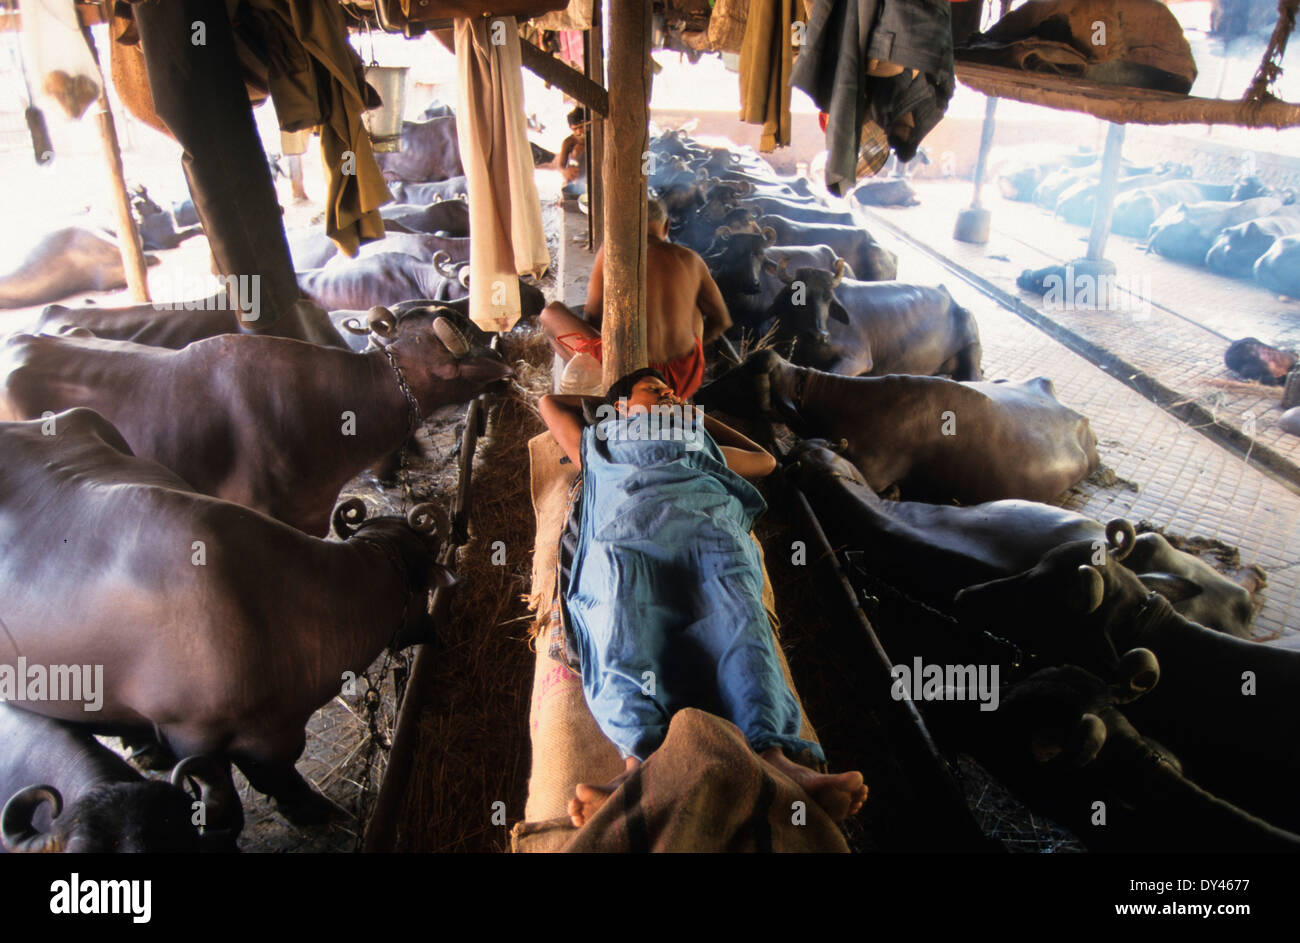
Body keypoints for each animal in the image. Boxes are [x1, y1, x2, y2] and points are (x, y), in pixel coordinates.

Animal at [0, 405, 457, 822]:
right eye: (423, 588)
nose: (434, 631)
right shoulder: (193, 736)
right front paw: (314, 812)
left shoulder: (273, 731)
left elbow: (275, 770)